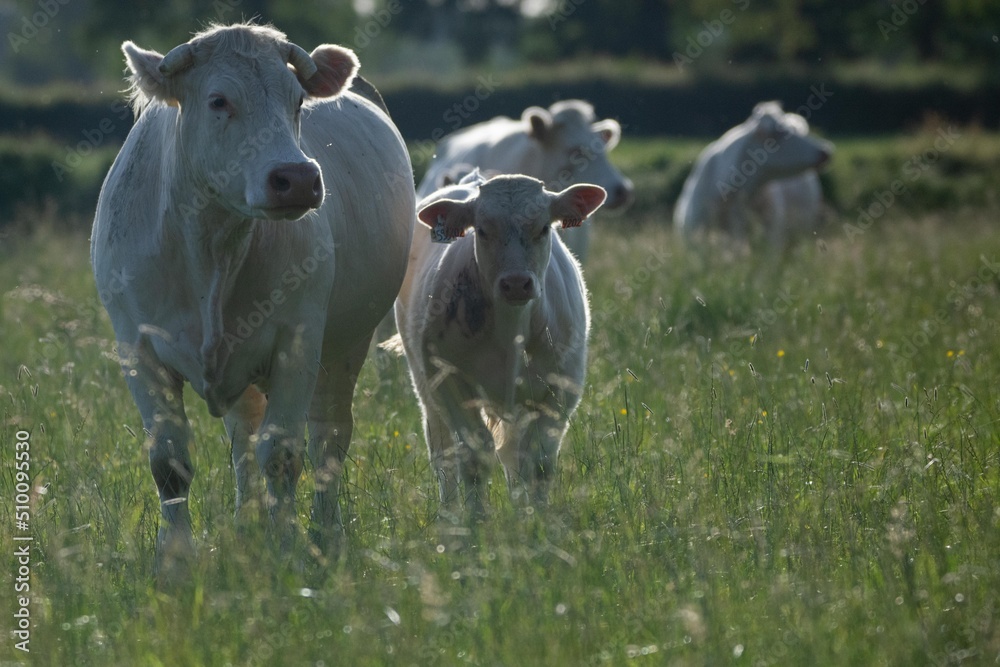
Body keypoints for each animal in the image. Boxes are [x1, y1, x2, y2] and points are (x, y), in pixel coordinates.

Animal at [90, 23, 415, 574]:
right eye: (219, 100)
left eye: (297, 100)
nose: (297, 178)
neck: (213, 248)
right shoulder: (138, 348)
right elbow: (169, 461)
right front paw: (174, 562)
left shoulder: (297, 342)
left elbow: (282, 455)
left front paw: (286, 550)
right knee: (243, 438)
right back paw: (247, 528)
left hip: (346, 348)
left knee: (327, 438)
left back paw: (324, 534)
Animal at [394, 171, 606, 519]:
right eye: (481, 230)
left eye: (544, 227)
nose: (516, 283)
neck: (511, 331)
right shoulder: (450, 381)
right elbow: (474, 454)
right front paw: (476, 521)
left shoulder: (561, 388)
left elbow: (539, 462)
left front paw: (535, 520)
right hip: (424, 381)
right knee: (443, 451)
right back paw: (449, 514)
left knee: (513, 454)